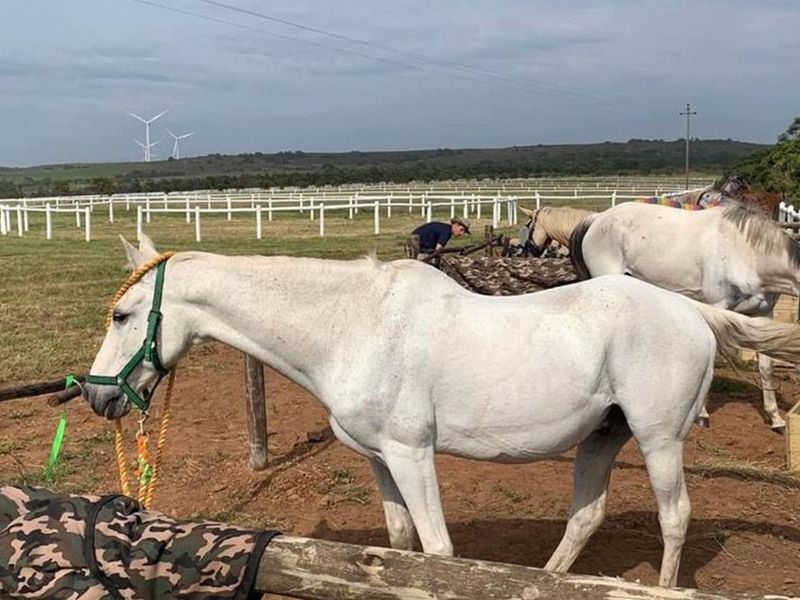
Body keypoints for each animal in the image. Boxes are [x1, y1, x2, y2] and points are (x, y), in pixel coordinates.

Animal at [83, 234, 800, 587]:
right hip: (603, 436)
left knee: (675, 519)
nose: (97, 395)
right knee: (585, 518)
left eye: (122, 315)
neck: (354, 326)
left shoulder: (411, 453)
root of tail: (692, 312)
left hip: (658, 440)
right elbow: (399, 547)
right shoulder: (380, 461)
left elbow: (437, 550)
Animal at [570, 201, 800, 432]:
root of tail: (597, 218)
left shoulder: (764, 314)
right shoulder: (718, 305)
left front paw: (776, 419)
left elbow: (766, 367)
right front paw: (703, 415)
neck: (746, 253)